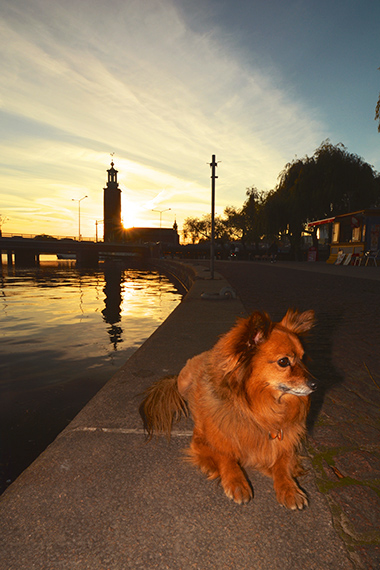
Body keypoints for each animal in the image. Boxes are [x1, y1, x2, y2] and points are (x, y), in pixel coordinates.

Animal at [138, 308, 316, 508]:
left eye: (303, 359)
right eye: (284, 361)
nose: (315, 384)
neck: (258, 410)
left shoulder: (284, 444)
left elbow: (283, 464)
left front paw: (290, 488)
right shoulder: (204, 440)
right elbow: (224, 456)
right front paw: (236, 481)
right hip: (183, 383)